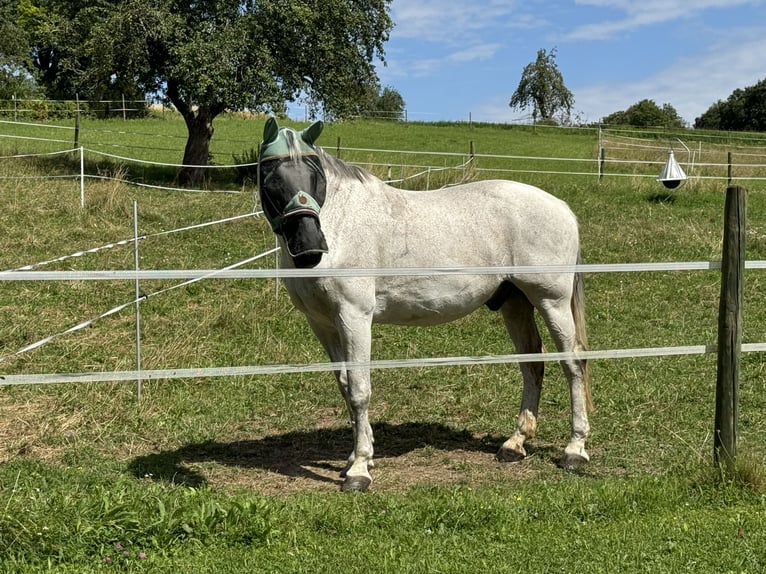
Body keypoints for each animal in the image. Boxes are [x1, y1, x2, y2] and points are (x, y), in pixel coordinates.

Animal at [258, 118, 592, 496]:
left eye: (315, 175)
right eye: (270, 175)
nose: (310, 247)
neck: (342, 223)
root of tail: (561, 207)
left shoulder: (354, 317)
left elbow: (359, 390)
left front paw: (359, 470)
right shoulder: (323, 323)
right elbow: (344, 385)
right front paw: (358, 456)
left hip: (552, 301)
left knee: (573, 363)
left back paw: (574, 449)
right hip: (515, 303)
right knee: (533, 364)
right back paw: (515, 444)